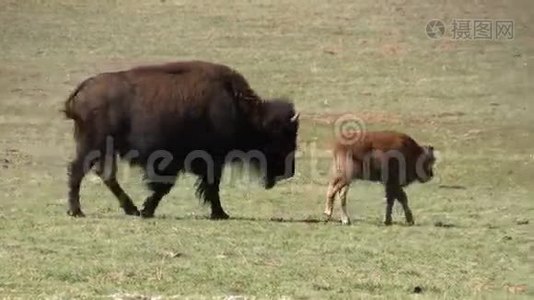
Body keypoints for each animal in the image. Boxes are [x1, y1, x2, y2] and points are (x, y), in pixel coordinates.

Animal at [64, 61, 300, 219]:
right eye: (281, 137)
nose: (288, 172)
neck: (243, 111)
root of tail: (82, 90)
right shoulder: (204, 161)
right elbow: (199, 187)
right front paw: (220, 214)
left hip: (103, 149)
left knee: (104, 174)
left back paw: (129, 209)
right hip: (92, 146)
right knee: (78, 171)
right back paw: (77, 211)